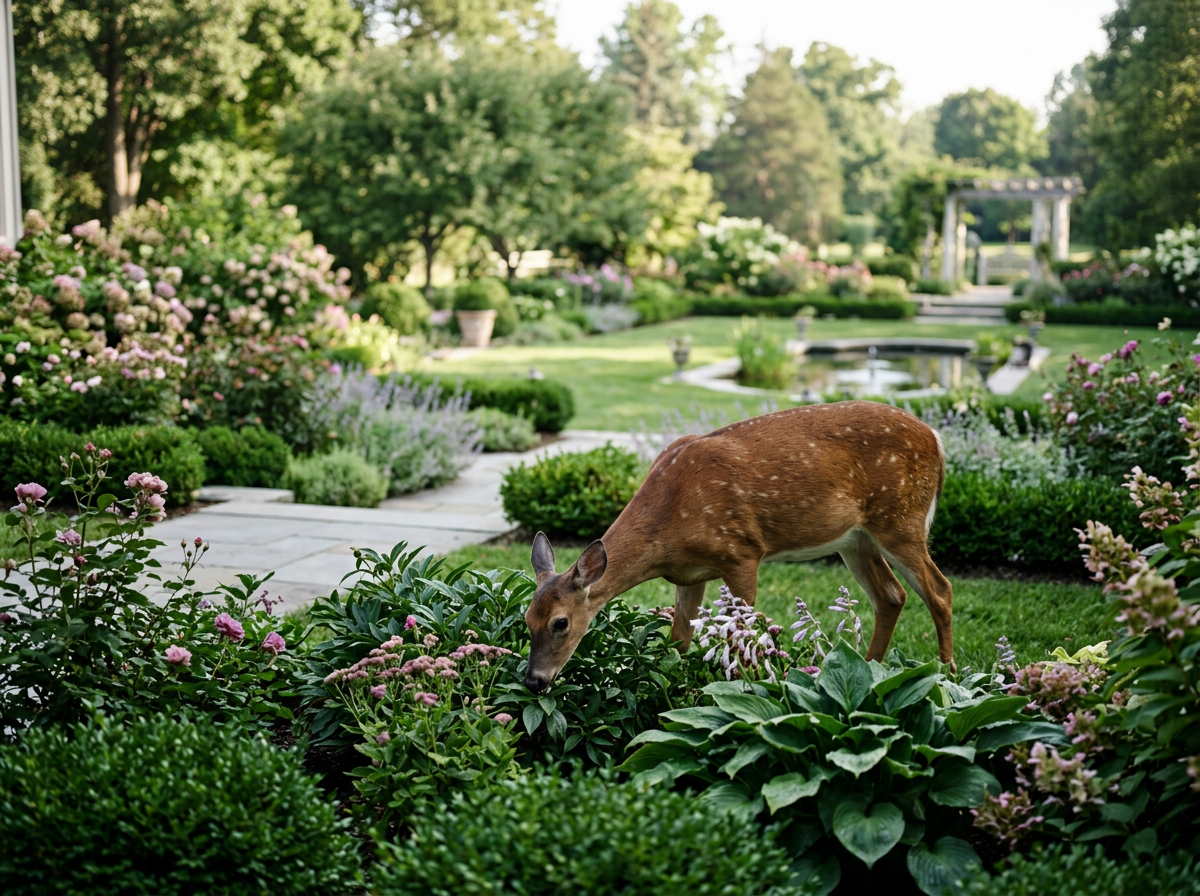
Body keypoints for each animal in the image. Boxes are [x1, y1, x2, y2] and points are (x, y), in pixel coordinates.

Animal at [523, 401, 954, 693]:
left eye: (561, 623)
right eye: (526, 620)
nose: (533, 682)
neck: (670, 524)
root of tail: (937, 439)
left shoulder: (743, 551)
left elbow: (742, 635)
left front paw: (746, 685)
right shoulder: (688, 575)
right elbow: (678, 642)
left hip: (901, 518)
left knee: (940, 590)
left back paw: (949, 677)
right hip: (856, 538)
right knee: (891, 595)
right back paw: (867, 671)